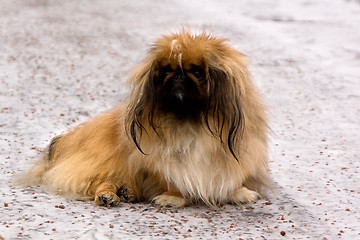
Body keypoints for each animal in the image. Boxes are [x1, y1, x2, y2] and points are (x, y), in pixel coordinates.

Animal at [23, 30, 268, 208]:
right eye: (166, 71)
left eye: (198, 72)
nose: (179, 76)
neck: (190, 120)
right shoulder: (162, 161)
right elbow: (171, 179)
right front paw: (173, 197)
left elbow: (232, 176)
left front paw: (239, 193)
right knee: (99, 181)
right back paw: (109, 195)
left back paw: (127, 192)